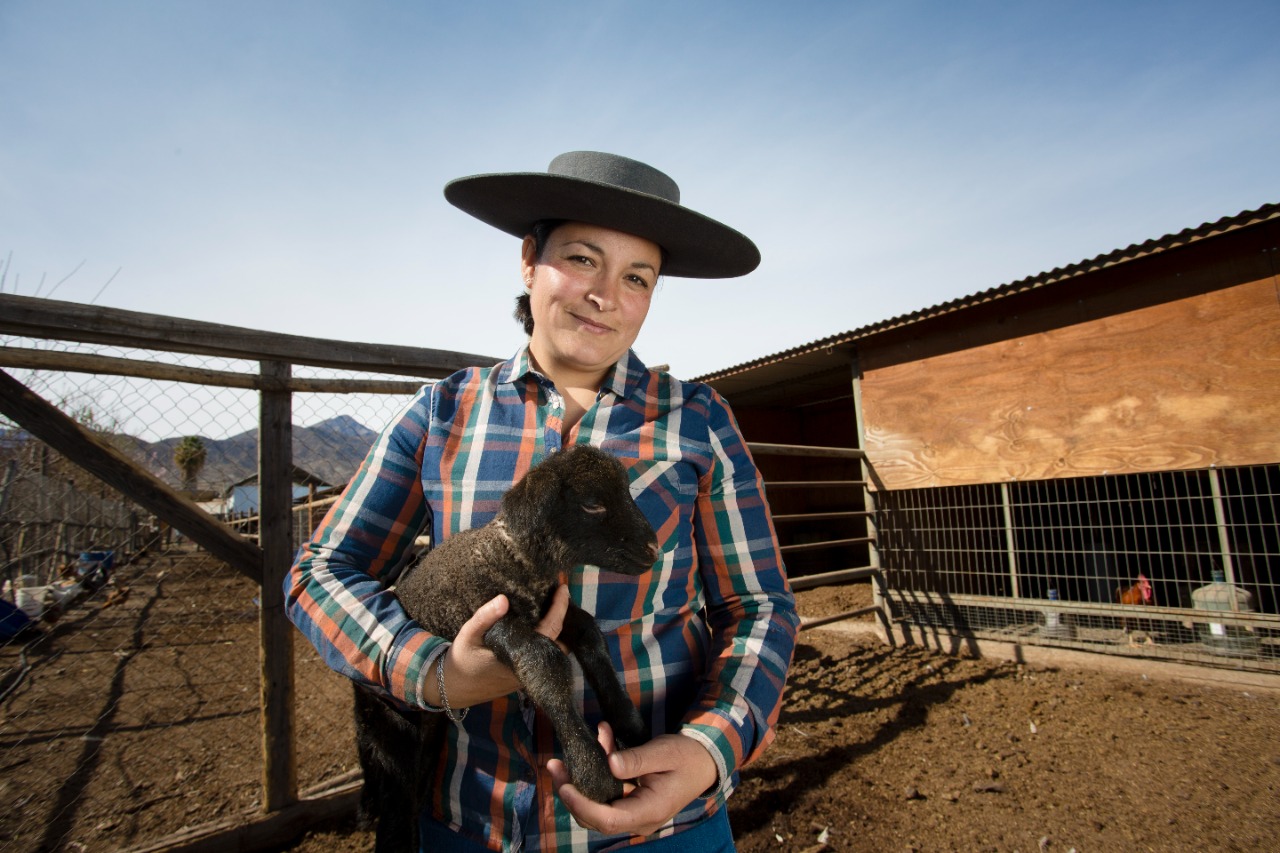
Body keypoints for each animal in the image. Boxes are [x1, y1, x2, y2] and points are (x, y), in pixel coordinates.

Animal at [358, 440, 665, 845]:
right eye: (591, 504)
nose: (654, 548)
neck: (514, 561)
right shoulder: (492, 619)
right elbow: (544, 664)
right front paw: (594, 775)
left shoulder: (553, 612)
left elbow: (591, 634)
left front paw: (630, 726)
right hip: (390, 728)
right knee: (395, 802)